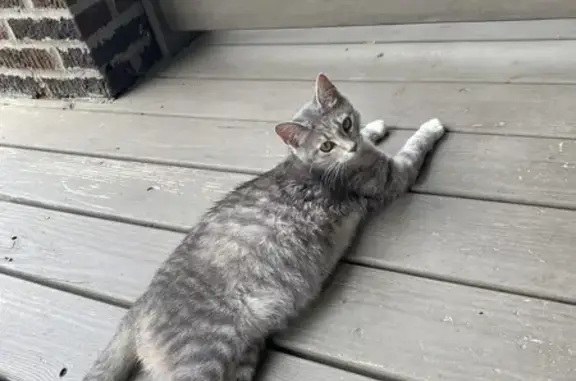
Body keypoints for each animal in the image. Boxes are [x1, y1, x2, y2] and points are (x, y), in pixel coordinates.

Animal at [83, 72, 446, 380]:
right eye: (326, 145)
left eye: (345, 124)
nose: (350, 146)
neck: (314, 166)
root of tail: (139, 306)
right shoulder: (392, 175)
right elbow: (415, 145)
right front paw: (430, 126)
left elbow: (371, 134)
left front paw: (374, 126)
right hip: (201, 359)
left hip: (243, 356)